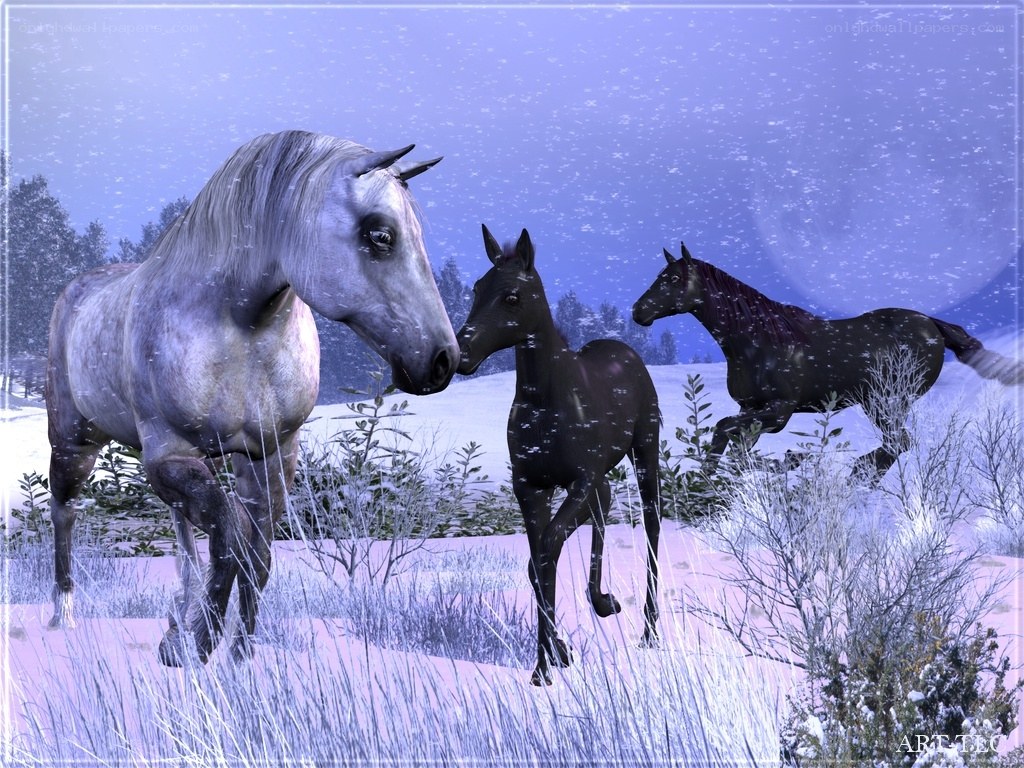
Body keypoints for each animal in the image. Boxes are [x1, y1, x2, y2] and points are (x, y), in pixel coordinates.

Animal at [46, 130, 458, 666]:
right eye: (380, 235)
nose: (444, 359)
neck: (240, 328)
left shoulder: (270, 456)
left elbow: (256, 556)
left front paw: (238, 655)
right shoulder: (170, 453)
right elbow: (227, 534)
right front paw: (197, 644)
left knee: (179, 525)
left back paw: (177, 615)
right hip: (74, 443)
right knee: (65, 512)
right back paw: (64, 617)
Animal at [456, 225, 662, 686]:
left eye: (512, 296)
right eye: (477, 288)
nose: (462, 353)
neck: (547, 403)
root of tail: (626, 350)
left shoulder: (578, 480)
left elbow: (548, 549)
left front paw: (547, 666)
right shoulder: (531, 487)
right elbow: (537, 560)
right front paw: (552, 659)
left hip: (644, 450)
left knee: (652, 522)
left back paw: (649, 632)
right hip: (598, 479)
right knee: (604, 509)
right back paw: (603, 601)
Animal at [632, 242, 1024, 475]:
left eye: (673, 279)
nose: (639, 311)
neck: (756, 341)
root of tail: (934, 326)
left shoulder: (780, 410)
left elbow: (724, 428)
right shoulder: (752, 408)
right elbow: (734, 443)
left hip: (886, 400)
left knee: (898, 443)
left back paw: (857, 476)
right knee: (896, 445)